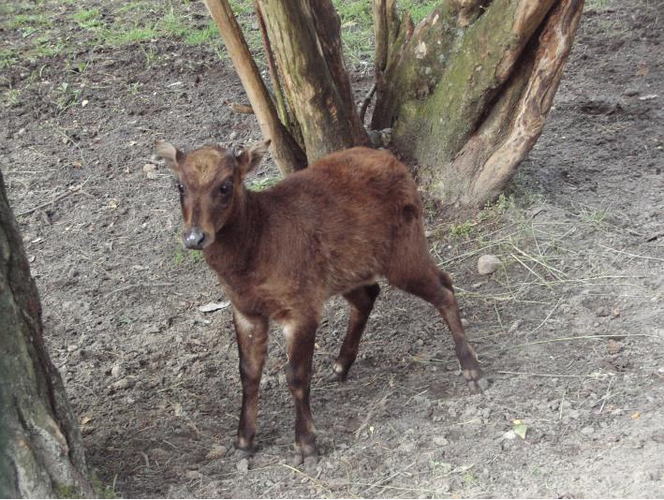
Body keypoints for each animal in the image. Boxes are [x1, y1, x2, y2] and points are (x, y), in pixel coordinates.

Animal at [156, 139, 488, 462]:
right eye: (179, 185)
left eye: (225, 185)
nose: (195, 237)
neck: (257, 247)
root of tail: (395, 161)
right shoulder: (245, 309)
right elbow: (248, 372)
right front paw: (243, 441)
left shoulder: (301, 305)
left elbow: (296, 375)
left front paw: (307, 445)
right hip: (347, 271)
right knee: (371, 295)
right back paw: (341, 366)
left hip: (404, 249)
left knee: (444, 287)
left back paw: (473, 371)